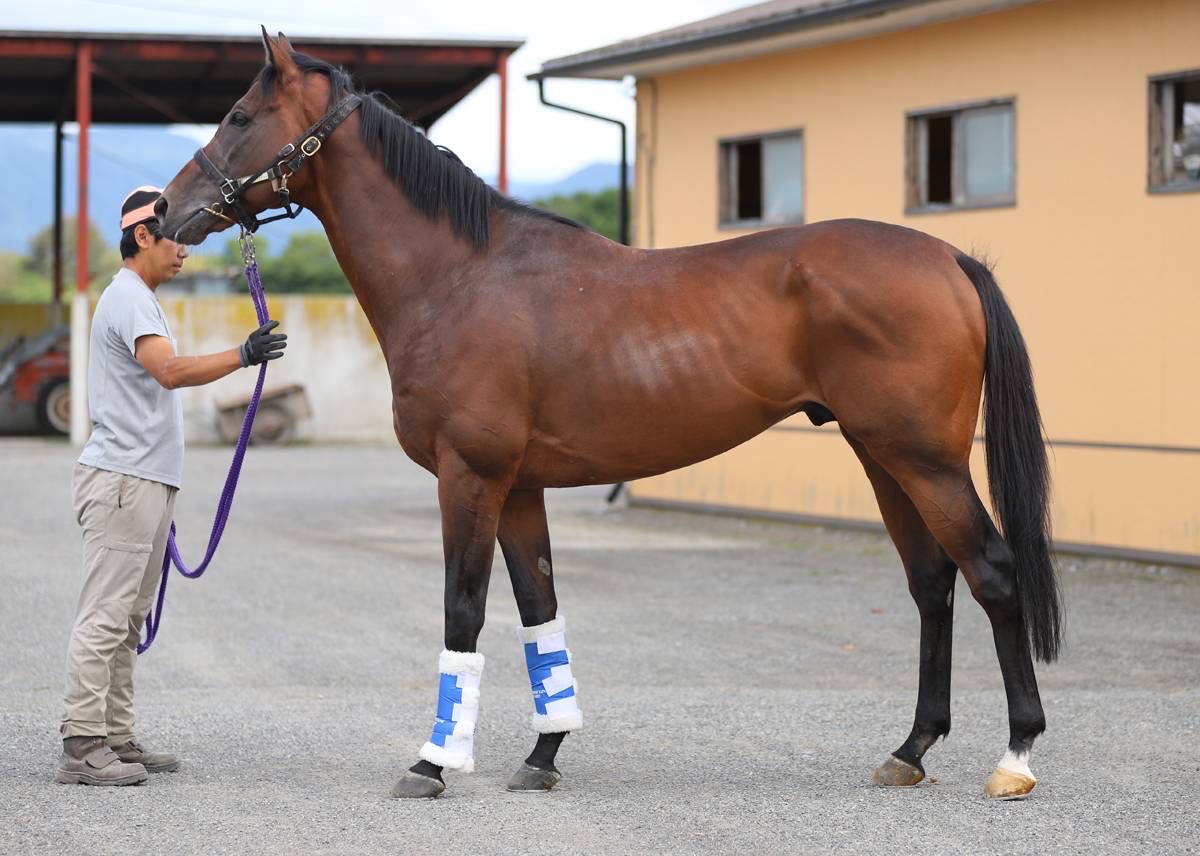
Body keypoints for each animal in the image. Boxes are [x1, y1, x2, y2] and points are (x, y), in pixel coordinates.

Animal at [158, 30, 1062, 800]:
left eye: (240, 116)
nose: (162, 213)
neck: (460, 277)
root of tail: (949, 257)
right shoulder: (519, 488)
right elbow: (539, 612)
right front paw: (543, 754)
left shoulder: (470, 477)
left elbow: (463, 609)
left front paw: (433, 763)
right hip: (882, 457)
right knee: (932, 583)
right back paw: (910, 749)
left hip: (925, 460)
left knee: (991, 572)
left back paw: (1015, 756)